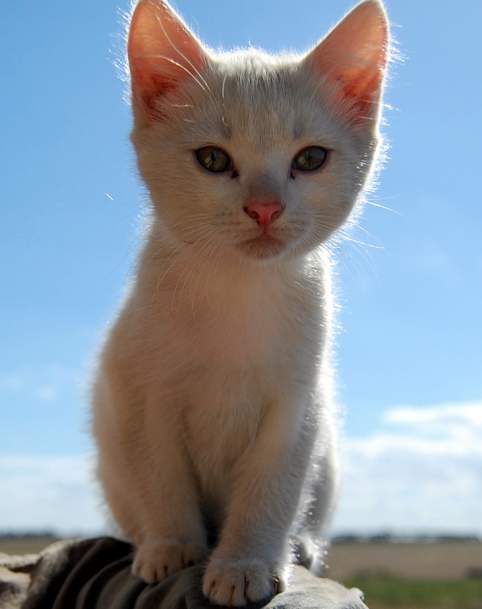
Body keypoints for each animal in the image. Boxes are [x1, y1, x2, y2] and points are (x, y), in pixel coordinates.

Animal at [92, 1, 390, 604]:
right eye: (212, 158)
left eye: (311, 158)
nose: (265, 207)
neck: (238, 289)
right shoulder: (137, 392)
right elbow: (160, 477)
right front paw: (171, 547)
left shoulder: (297, 403)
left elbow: (271, 487)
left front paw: (246, 562)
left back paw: (301, 546)